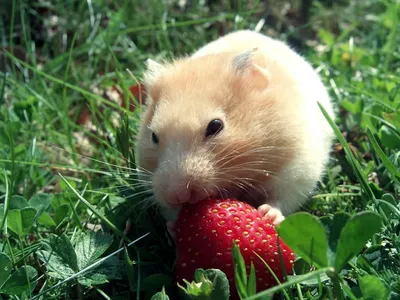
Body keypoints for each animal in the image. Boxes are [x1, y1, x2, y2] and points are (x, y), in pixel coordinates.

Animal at [136, 29, 336, 229]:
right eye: (153, 136)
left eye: (216, 126)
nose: (177, 195)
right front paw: (173, 225)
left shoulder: (298, 169)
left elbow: (282, 199)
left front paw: (267, 215)